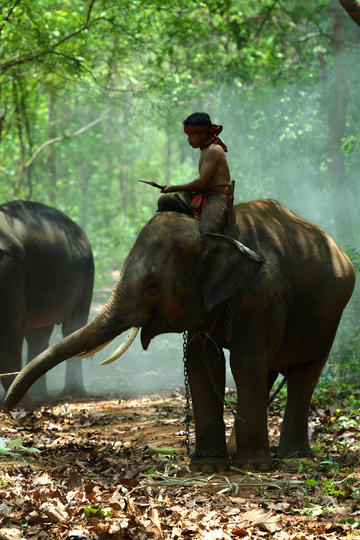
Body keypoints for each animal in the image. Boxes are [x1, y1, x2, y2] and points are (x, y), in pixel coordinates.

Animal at [0, 200, 94, 398]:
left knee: (72, 328)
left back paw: (71, 391)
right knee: (38, 334)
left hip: (86, 275)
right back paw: (38, 394)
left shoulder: (10, 269)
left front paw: (14, 399)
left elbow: (12, 324)